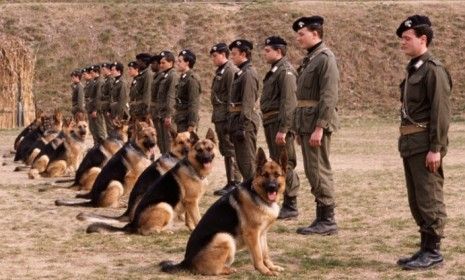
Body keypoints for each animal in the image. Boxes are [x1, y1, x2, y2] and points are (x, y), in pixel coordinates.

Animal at [85, 129, 216, 234]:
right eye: (199, 150)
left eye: (209, 149)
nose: (207, 159)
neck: (193, 168)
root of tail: (132, 223)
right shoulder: (191, 202)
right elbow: (197, 218)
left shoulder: (190, 202)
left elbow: (190, 219)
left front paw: (191, 228)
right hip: (164, 205)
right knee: (148, 231)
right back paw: (166, 231)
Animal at [160, 148, 286, 276]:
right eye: (265, 175)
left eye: (277, 175)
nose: (272, 187)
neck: (257, 193)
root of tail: (186, 261)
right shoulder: (252, 234)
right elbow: (258, 255)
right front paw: (265, 271)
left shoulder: (262, 233)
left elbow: (265, 253)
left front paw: (272, 267)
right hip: (224, 237)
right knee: (214, 270)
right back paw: (227, 269)